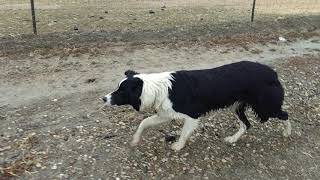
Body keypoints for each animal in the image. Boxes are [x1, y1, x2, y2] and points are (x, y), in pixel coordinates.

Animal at [102, 61, 290, 151]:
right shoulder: (165, 113)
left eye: (121, 91)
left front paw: (178, 146)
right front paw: (135, 140)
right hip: (237, 107)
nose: (103, 98)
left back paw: (287, 133)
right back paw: (232, 139)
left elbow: (184, 133)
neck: (156, 88)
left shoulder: (192, 116)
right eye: (117, 87)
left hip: (265, 107)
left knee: (285, 115)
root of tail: (272, 72)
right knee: (247, 124)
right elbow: (144, 123)